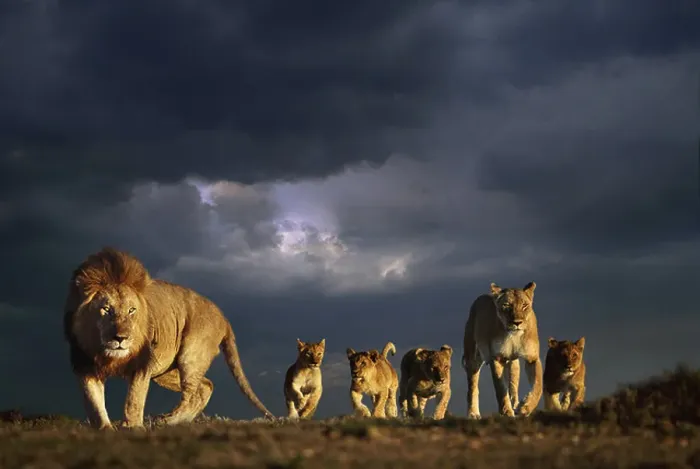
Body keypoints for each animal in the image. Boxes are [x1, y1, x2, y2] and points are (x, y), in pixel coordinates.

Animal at [62, 247, 274, 430]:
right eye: (106, 309)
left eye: (132, 310)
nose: (121, 338)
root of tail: (223, 317)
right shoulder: (85, 364)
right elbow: (94, 403)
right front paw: (105, 430)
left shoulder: (142, 365)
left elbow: (134, 400)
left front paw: (132, 427)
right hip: (164, 370)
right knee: (205, 386)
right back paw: (178, 420)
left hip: (191, 355)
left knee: (191, 393)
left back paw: (167, 420)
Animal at [462, 282, 543, 419]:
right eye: (507, 305)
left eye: (524, 305)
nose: (517, 322)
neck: (514, 336)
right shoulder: (497, 358)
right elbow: (500, 388)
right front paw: (506, 412)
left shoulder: (532, 358)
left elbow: (538, 385)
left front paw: (525, 408)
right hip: (473, 358)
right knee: (472, 387)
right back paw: (473, 413)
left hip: (513, 363)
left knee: (513, 387)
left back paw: (516, 405)